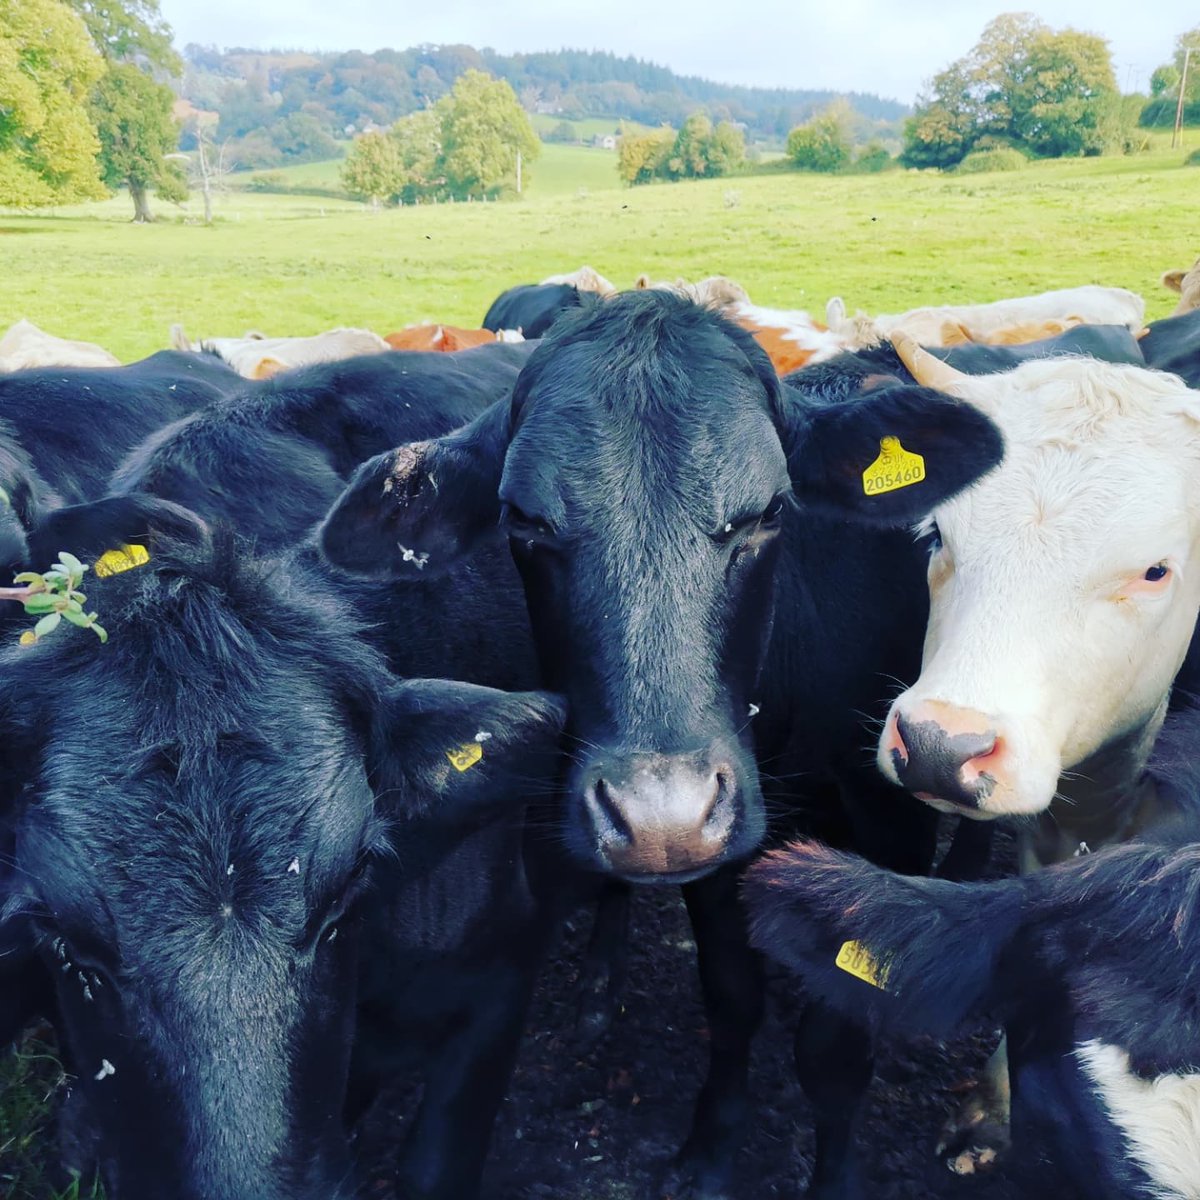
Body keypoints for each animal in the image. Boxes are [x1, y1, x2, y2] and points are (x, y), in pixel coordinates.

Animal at [316, 289, 1007, 1198]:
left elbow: (835, 1048)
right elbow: (731, 998)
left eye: (769, 512)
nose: (660, 817)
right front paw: (710, 1151)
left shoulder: (888, 820)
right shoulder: (716, 859)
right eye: (523, 520)